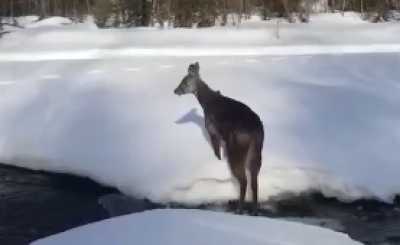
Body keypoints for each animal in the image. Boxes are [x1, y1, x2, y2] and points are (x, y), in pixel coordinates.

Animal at [174, 61, 262, 214]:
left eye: (184, 81)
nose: (175, 90)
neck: (207, 102)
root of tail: (255, 132)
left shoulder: (212, 131)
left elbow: (216, 152)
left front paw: (217, 161)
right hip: (257, 152)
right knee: (254, 180)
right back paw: (254, 211)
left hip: (236, 149)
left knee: (243, 180)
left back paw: (239, 209)